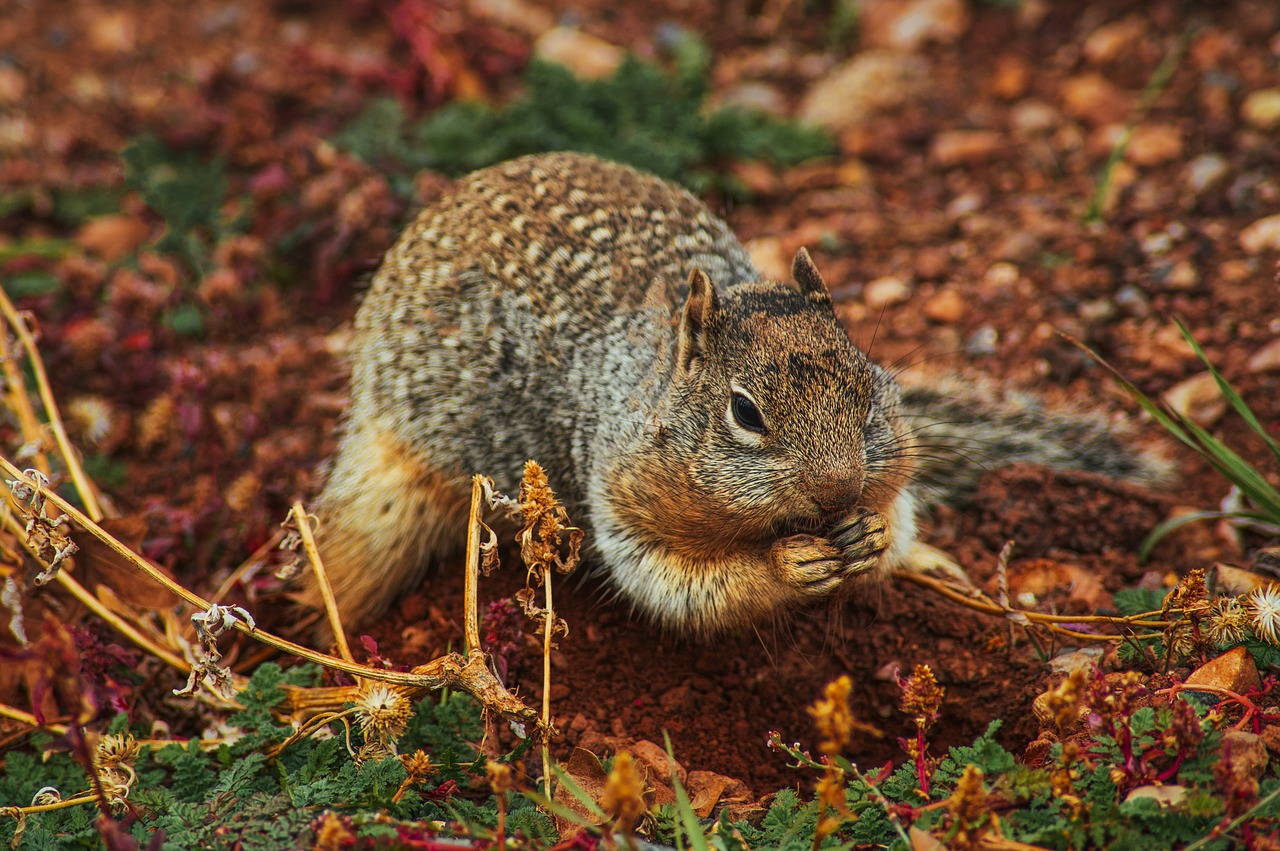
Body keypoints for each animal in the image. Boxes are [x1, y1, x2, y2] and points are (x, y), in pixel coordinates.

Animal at [302, 152, 1172, 634]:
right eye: (745, 413)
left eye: (867, 387)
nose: (838, 488)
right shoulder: (620, 491)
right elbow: (681, 581)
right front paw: (791, 565)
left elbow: (894, 508)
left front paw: (871, 537)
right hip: (395, 481)